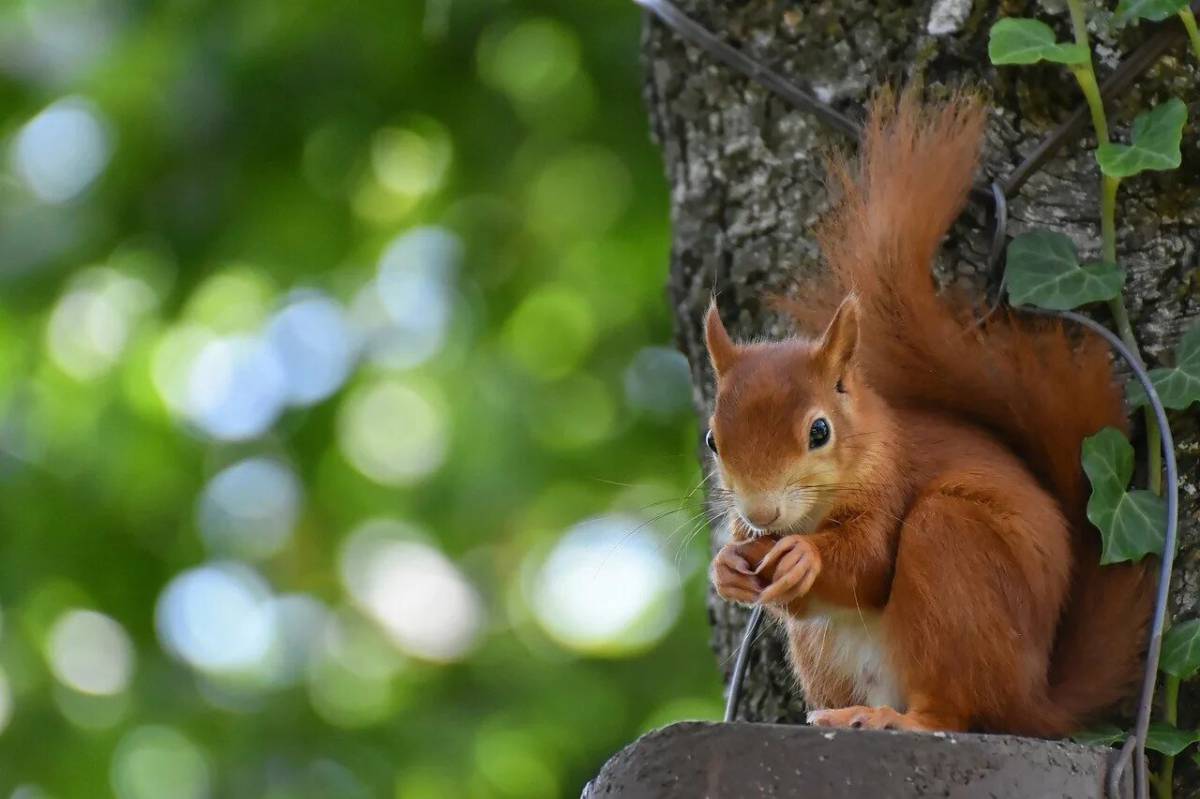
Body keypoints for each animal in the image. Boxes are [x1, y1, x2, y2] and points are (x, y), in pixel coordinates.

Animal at [700, 88, 1152, 734]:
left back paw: (897, 720)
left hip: (952, 554)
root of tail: (1033, 701)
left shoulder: (892, 485)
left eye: (819, 430)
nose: (762, 512)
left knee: (952, 711)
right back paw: (848, 713)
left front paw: (805, 555)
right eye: (713, 440)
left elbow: (869, 564)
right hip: (826, 654)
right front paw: (726, 567)